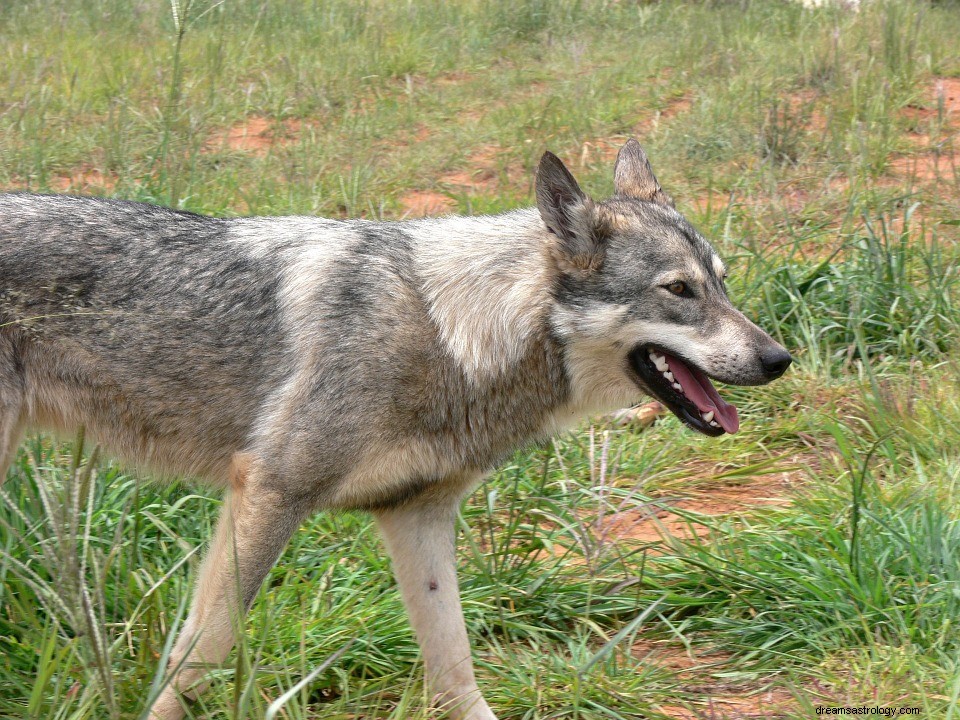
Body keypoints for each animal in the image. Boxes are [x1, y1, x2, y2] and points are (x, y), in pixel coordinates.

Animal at [0, 141, 792, 720]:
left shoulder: (417, 517)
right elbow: (202, 653)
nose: (779, 359)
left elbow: (456, 671)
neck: (449, 333)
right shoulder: (270, 493)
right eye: (679, 291)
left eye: (723, 283)